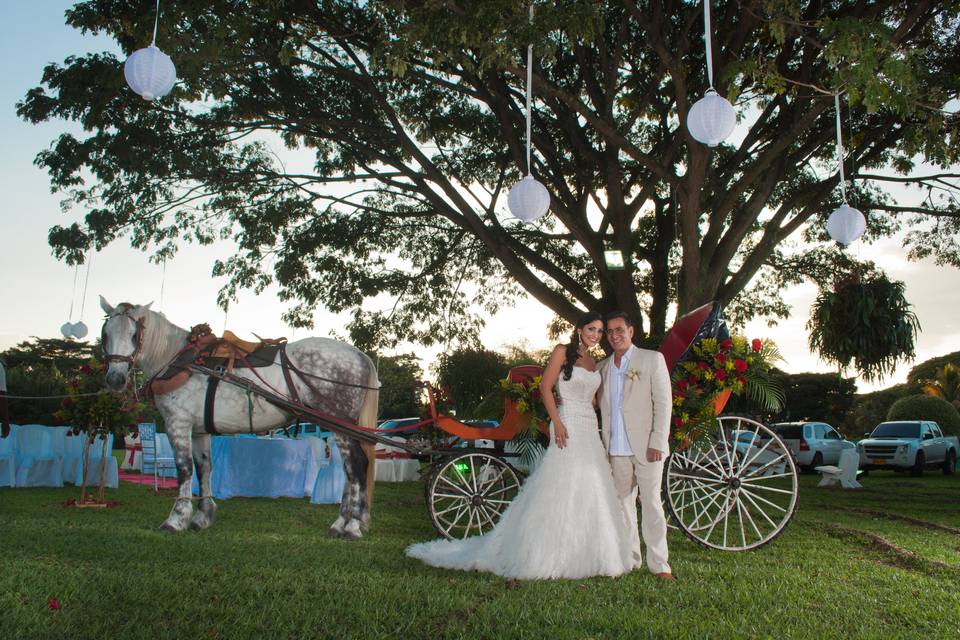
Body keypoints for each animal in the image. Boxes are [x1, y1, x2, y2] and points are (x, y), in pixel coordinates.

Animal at [99, 298, 378, 536]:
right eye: (105, 334)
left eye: (134, 335)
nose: (115, 379)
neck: (181, 362)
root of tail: (359, 355)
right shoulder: (199, 430)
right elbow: (204, 468)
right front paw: (203, 516)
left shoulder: (178, 423)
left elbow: (185, 469)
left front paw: (176, 518)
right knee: (349, 470)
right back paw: (342, 522)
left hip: (340, 424)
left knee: (356, 465)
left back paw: (352, 525)